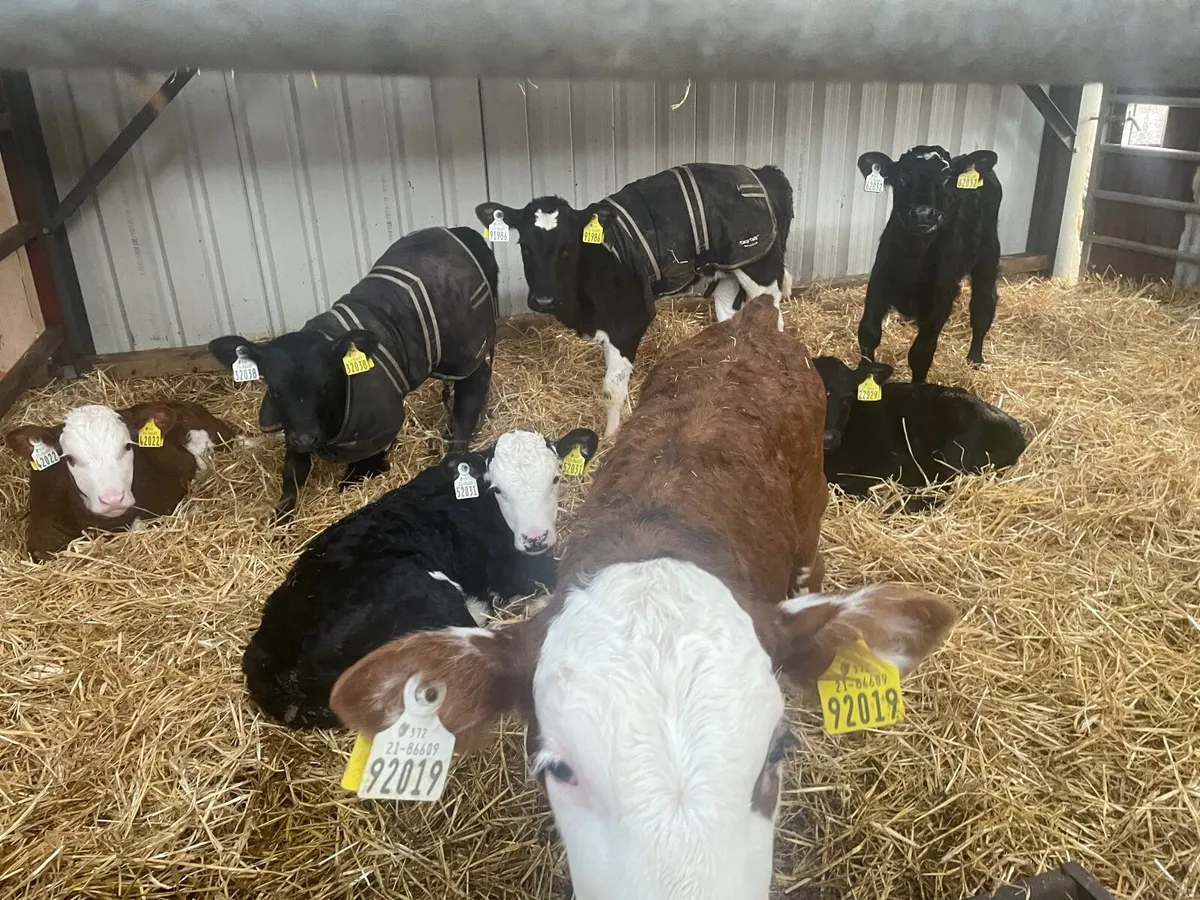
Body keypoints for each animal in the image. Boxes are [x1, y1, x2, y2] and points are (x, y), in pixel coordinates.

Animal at [208, 226, 499, 524]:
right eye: (275, 390)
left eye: (325, 385)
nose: (305, 439)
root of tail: (460, 232)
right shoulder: (292, 427)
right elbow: (292, 473)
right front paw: (280, 516)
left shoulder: (377, 427)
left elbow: (358, 469)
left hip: (468, 350)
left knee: (470, 399)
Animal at [241, 426, 598, 729]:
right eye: (497, 489)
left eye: (555, 478)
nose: (535, 538)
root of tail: (265, 653)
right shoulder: (518, 573)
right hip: (424, 588)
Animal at [476, 162, 795, 436]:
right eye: (523, 246)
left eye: (568, 247)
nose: (542, 300)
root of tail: (761, 173)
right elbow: (620, 382)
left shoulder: (628, 322)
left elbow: (611, 388)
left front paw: (611, 436)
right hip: (727, 272)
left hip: (760, 267)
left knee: (774, 319)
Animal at [855, 144, 1003, 383]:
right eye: (903, 175)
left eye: (947, 178)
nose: (923, 214)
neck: (912, 258)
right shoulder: (877, 284)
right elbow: (868, 334)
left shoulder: (940, 300)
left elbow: (921, 353)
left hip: (988, 254)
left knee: (983, 306)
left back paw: (975, 358)